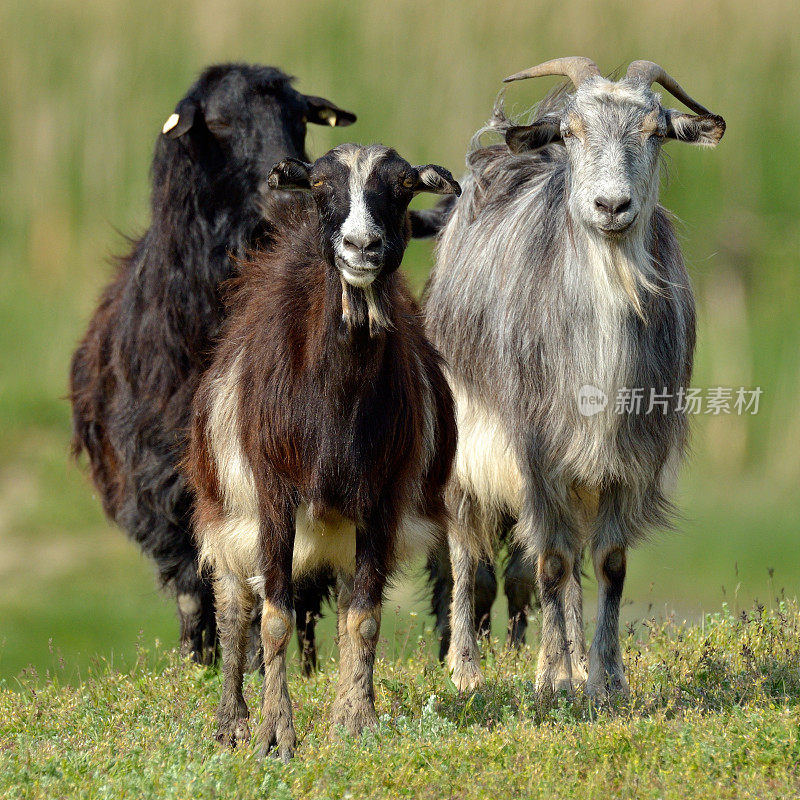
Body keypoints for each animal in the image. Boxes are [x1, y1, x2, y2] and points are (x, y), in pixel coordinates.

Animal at [424, 57, 724, 692]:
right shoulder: (536, 454)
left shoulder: (626, 459)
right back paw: (467, 671)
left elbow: (607, 563)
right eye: (572, 130)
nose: (612, 207)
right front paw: (552, 681)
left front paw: (605, 681)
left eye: (656, 131)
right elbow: (551, 562)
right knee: (470, 550)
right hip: (467, 452)